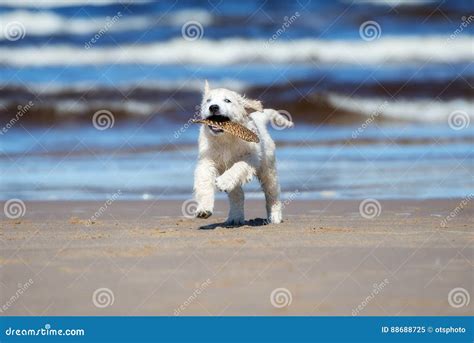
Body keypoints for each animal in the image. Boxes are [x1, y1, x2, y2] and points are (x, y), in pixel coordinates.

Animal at [193, 80, 292, 226]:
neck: (226, 138)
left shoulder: (251, 158)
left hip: (268, 169)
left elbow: (238, 166)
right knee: (237, 194)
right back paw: (235, 217)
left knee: (272, 193)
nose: (213, 107)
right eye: (208, 100)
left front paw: (223, 181)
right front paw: (204, 209)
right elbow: (204, 183)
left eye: (227, 100)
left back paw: (275, 216)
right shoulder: (207, 161)